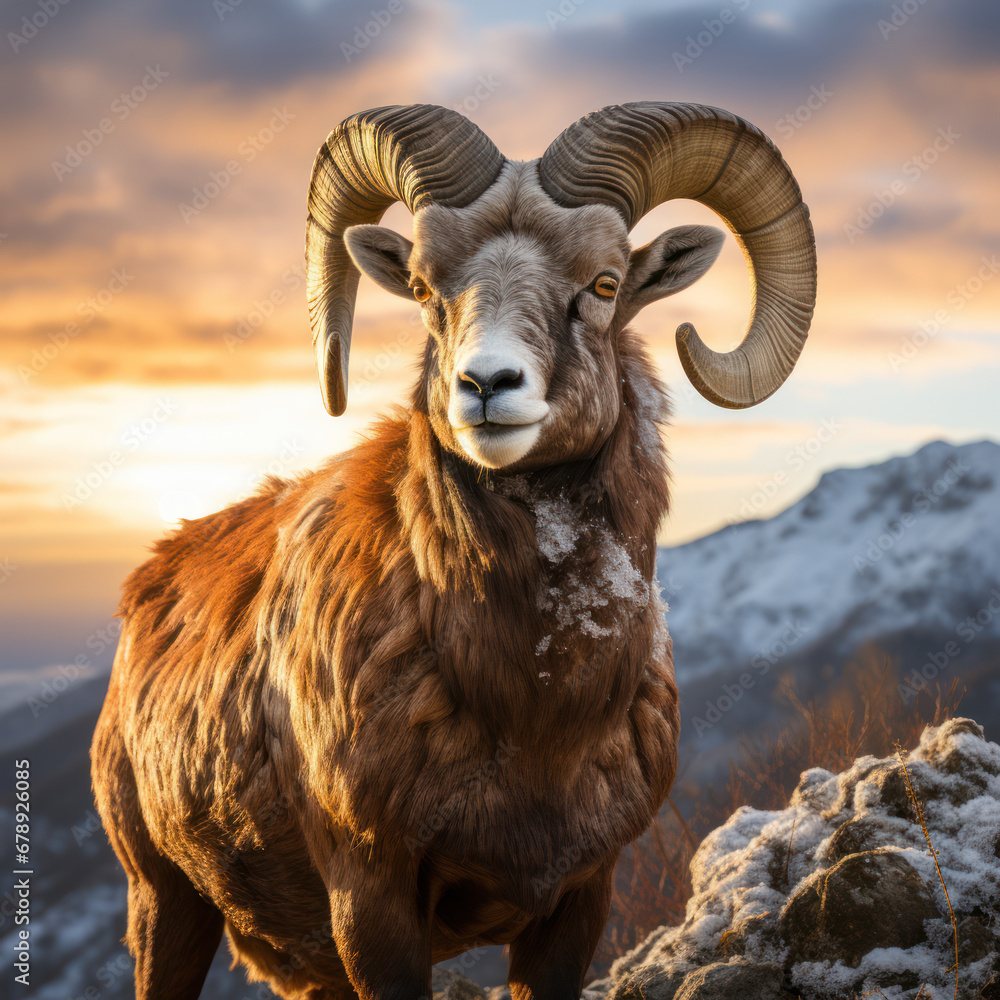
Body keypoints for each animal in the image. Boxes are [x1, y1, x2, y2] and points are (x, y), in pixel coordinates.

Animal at [91, 101, 816, 1000]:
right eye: (425, 289)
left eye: (605, 284)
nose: (486, 386)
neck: (535, 708)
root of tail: (149, 583)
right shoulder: (371, 905)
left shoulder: (578, 899)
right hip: (164, 900)